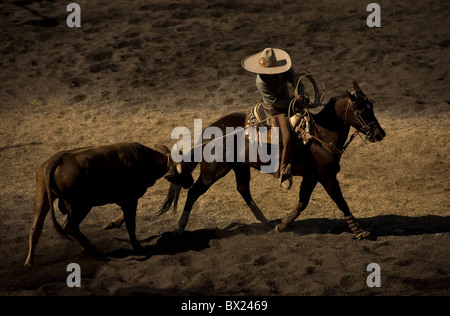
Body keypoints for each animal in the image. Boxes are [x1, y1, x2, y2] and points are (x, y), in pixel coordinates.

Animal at [24, 142, 193, 266]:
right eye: (185, 169)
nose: (191, 182)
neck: (144, 160)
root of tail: (56, 160)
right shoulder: (130, 198)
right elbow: (130, 223)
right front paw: (137, 246)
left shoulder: (127, 199)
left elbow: (125, 216)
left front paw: (112, 223)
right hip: (80, 205)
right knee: (70, 226)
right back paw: (90, 249)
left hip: (42, 196)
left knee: (35, 228)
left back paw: (30, 261)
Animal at [160, 82, 384, 239]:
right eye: (361, 111)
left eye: (372, 106)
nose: (380, 134)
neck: (320, 134)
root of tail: (209, 132)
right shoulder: (327, 176)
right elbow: (341, 201)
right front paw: (359, 230)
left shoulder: (312, 176)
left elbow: (303, 201)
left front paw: (282, 224)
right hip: (213, 172)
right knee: (193, 192)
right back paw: (179, 228)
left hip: (240, 168)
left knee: (243, 190)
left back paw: (266, 222)